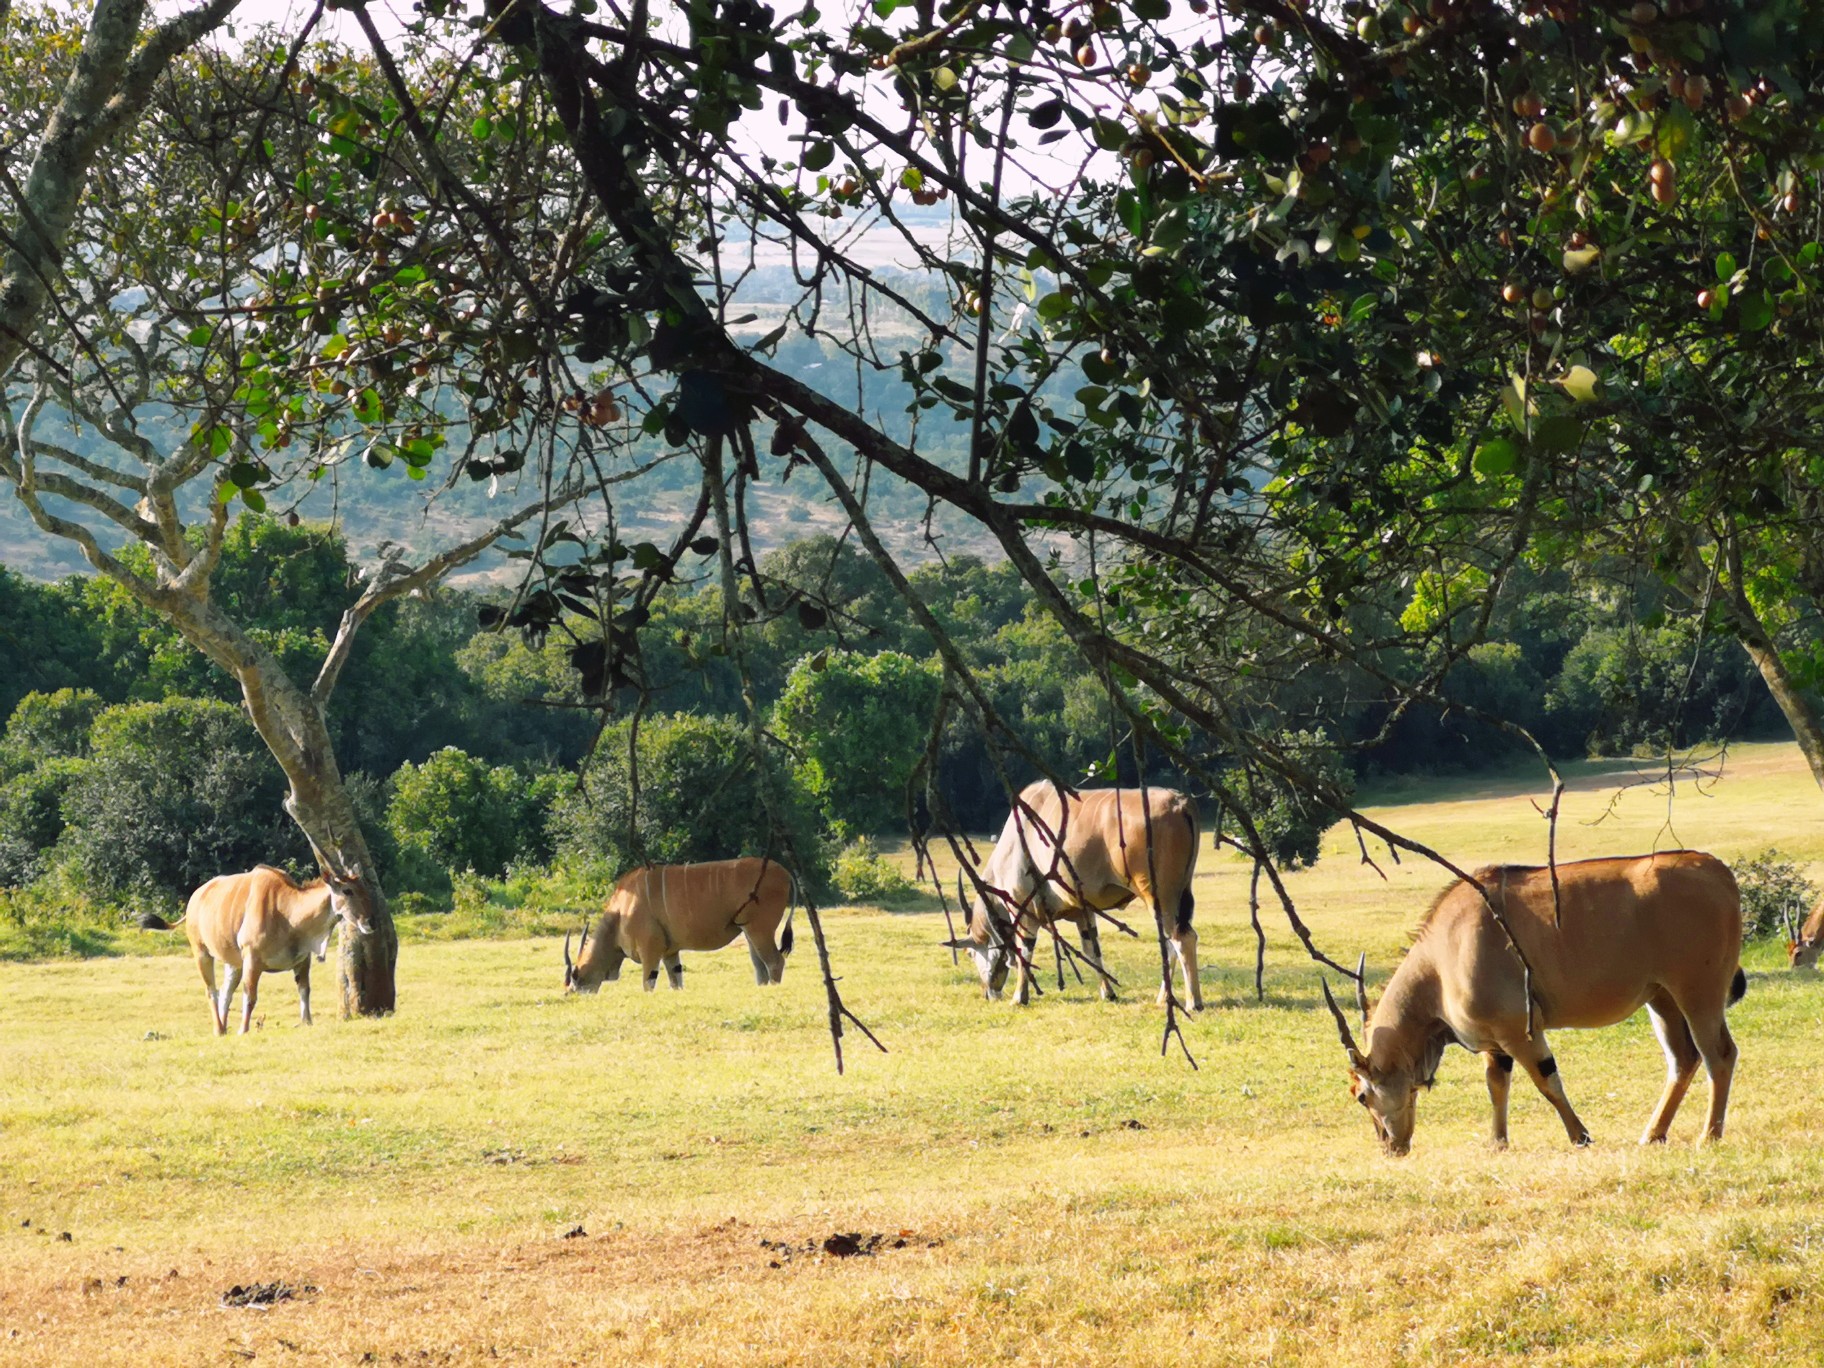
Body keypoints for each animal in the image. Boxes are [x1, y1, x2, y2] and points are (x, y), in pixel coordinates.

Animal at [139, 868, 377, 1036]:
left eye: (365, 889)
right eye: (347, 890)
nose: (369, 922)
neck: (287, 911)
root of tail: (195, 899)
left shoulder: (302, 960)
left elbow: (304, 990)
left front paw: (306, 1022)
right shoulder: (252, 960)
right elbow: (250, 996)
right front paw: (243, 1029)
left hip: (234, 964)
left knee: (225, 992)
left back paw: (223, 1027)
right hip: (202, 953)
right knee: (212, 991)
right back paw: (218, 1028)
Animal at [565, 857, 795, 999]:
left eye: (576, 979)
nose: (568, 995)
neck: (622, 910)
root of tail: (785, 873)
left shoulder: (651, 951)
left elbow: (648, 984)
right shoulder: (670, 953)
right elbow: (676, 981)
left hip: (759, 929)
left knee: (775, 962)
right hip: (748, 931)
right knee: (760, 967)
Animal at [941, 780, 1211, 1006]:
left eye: (969, 953)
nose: (988, 993)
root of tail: (1179, 802)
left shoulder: (1024, 910)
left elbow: (1025, 950)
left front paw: (1019, 998)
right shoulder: (1084, 913)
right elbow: (1093, 950)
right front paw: (1108, 993)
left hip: (1159, 897)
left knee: (1181, 938)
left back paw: (1193, 1002)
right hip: (1178, 896)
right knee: (1172, 940)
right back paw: (1163, 998)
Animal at [1327, 857, 1736, 1160]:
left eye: (1361, 1095)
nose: (1390, 1147)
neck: (1441, 958)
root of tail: (1719, 871)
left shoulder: (1519, 1032)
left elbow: (1546, 1081)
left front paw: (1580, 1136)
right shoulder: (1495, 1045)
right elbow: (1496, 1085)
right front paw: (1498, 1142)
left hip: (1698, 994)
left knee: (1719, 1054)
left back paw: (1709, 1137)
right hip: (1661, 999)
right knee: (1684, 1058)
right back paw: (1653, 1134)